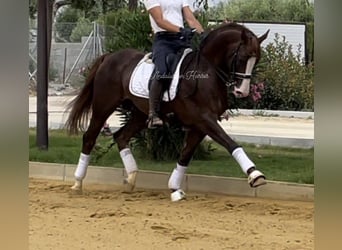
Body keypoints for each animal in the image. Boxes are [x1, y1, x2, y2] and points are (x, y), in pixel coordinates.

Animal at [65, 23, 270, 202]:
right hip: (104, 106)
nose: (242, 91)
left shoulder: (200, 126)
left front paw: (174, 189)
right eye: (242, 57)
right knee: (90, 137)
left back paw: (130, 178)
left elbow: (185, 155)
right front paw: (255, 174)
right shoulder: (204, 119)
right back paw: (77, 183)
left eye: (257, 60)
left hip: (140, 113)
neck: (206, 72)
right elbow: (230, 143)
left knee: (121, 136)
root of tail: (109, 57)